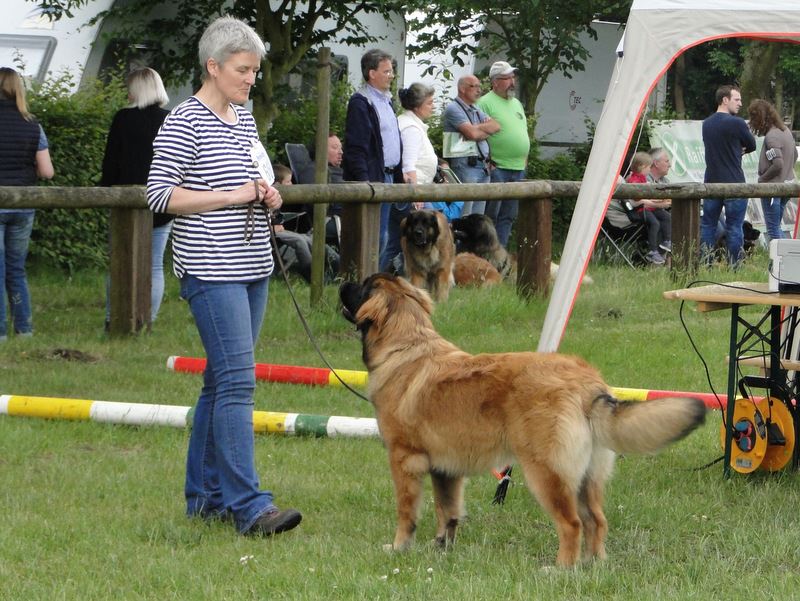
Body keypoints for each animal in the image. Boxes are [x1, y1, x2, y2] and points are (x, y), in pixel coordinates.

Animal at [338, 274, 708, 564]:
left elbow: (408, 512)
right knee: (596, 521)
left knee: (572, 524)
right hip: (586, 475)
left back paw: (562, 569)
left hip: (546, 472)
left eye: (362, 286)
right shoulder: (447, 468)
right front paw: (441, 547)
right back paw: (594, 564)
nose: (342, 282)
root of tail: (586, 382)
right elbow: (448, 511)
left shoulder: (405, 460)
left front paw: (400, 547)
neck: (405, 345)